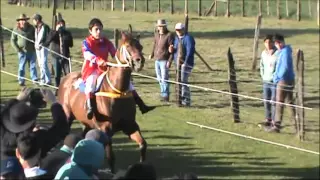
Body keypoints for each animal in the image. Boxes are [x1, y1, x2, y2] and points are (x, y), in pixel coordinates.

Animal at [57, 27, 146, 173]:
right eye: (128, 46)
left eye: (140, 46)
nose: (139, 61)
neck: (117, 91)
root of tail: (65, 78)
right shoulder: (105, 130)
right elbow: (111, 158)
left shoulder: (130, 126)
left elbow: (143, 144)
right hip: (67, 115)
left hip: (86, 122)